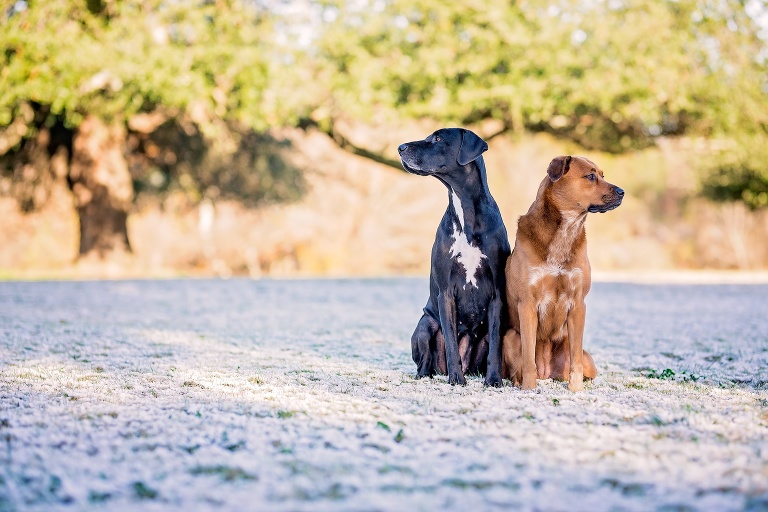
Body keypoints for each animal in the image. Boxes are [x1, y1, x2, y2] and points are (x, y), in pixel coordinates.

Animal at [400, 130, 512, 386]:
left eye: (438, 139)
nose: (400, 147)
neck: (465, 210)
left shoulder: (497, 294)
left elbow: (495, 346)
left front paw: (493, 380)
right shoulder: (446, 293)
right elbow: (451, 343)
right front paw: (456, 379)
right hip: (425, 325)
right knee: (425, 359)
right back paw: (427, 375)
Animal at [504, 156, 624, 392]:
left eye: (602, 175)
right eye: (590, 176)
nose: (622, 191)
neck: (566, 230)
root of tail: (547, 373)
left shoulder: (578, 304)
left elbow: (575, 359)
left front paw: (576, 390)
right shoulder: (527, 303)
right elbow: (528, 357)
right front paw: (529, 389)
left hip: (585, 356)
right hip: (510, 337)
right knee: (519, 368)